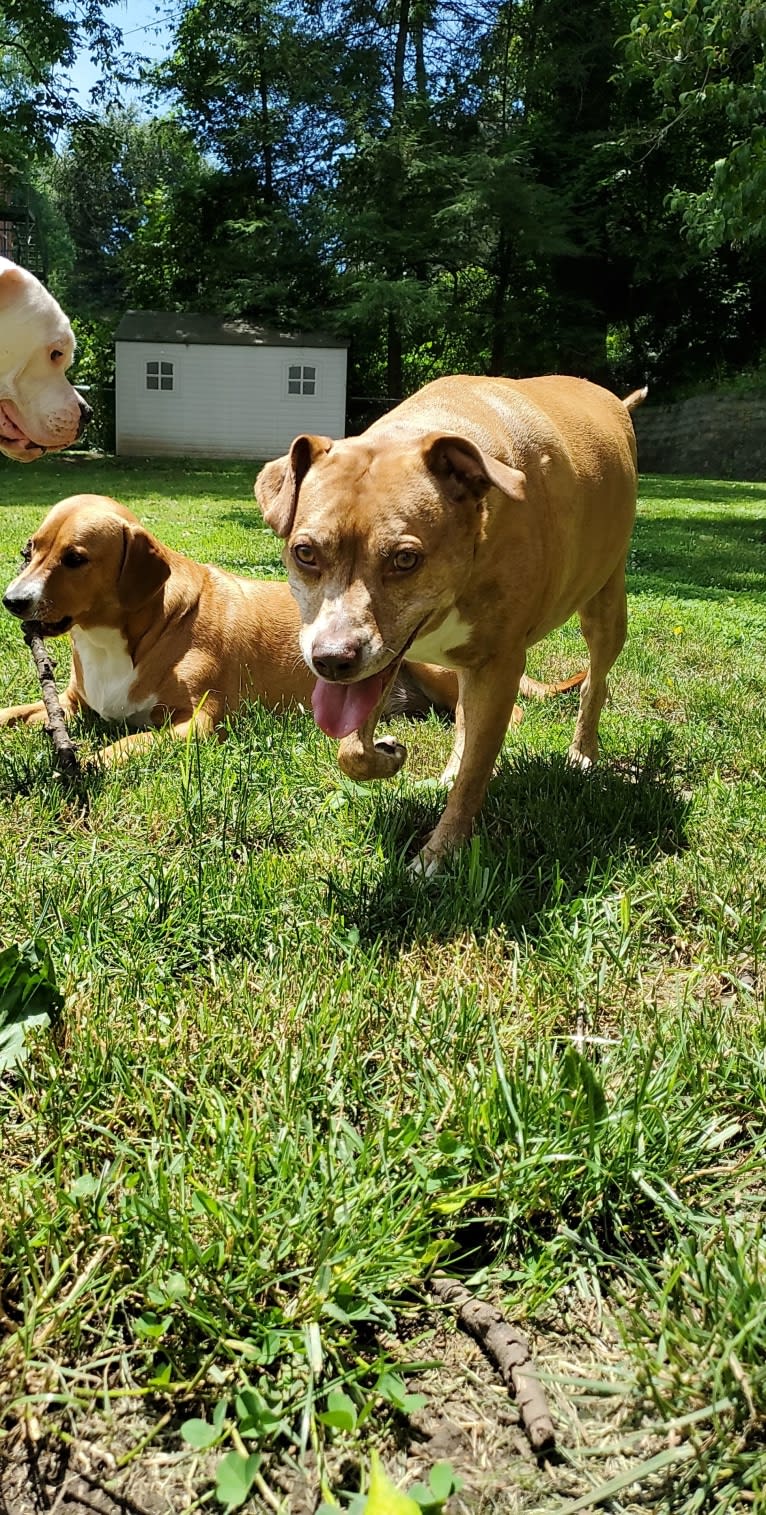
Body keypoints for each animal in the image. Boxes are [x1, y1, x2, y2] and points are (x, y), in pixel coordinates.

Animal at [257, 372, 644, 878]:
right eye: (305, 552)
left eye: (405, 559)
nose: (332, 660)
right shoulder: (386, 659)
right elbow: (354, 747)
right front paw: (386, 753)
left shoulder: (499, 666)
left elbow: (476, 774)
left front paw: (439, 856)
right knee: (462, 717)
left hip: (605, 604)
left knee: (594, 682)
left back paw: (582, 752)